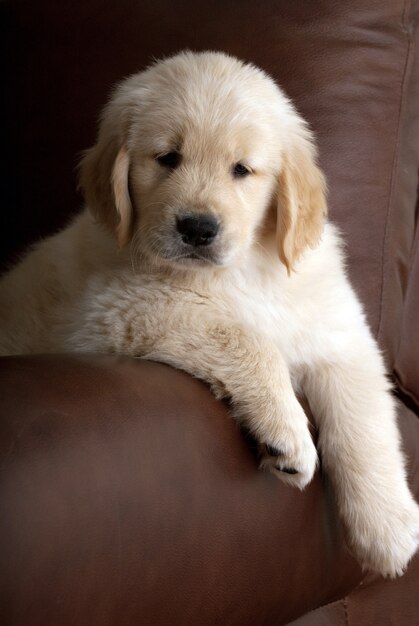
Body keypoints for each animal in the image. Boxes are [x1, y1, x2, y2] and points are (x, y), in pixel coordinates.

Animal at [0, 50, 419, 576]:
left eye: (242, 170)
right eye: (167, 158)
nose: (197, 228)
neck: (245, 270)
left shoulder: (339, 333)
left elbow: (364, 420)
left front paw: (388, 527)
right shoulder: (120, 306)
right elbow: (246, 339)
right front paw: (286, 431)